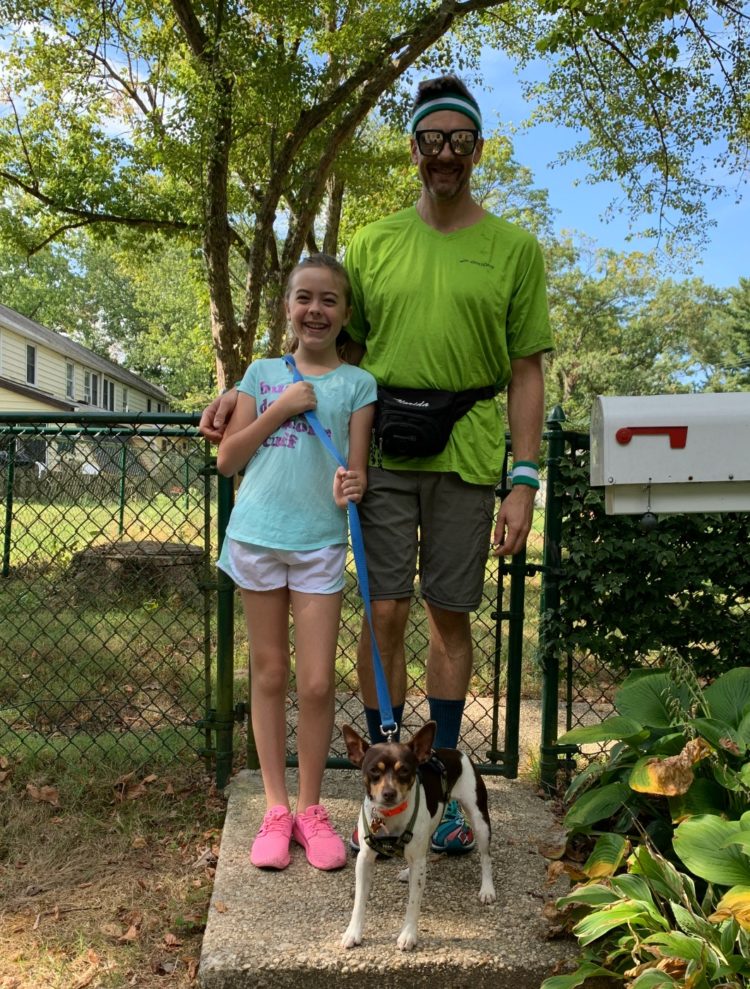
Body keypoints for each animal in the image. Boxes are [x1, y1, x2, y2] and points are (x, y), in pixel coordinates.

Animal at [342, 716, 496, 948]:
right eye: (374, 771)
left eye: (405, 770)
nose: (389, 793)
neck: (390, 815)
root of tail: (456, 752)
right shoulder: (365, 859)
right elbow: (359, 901)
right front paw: (353, 932)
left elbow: (413, 902)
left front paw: (408, 935)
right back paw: (408, 871)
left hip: (480, 821)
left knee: (485, 857)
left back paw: (487, 889)